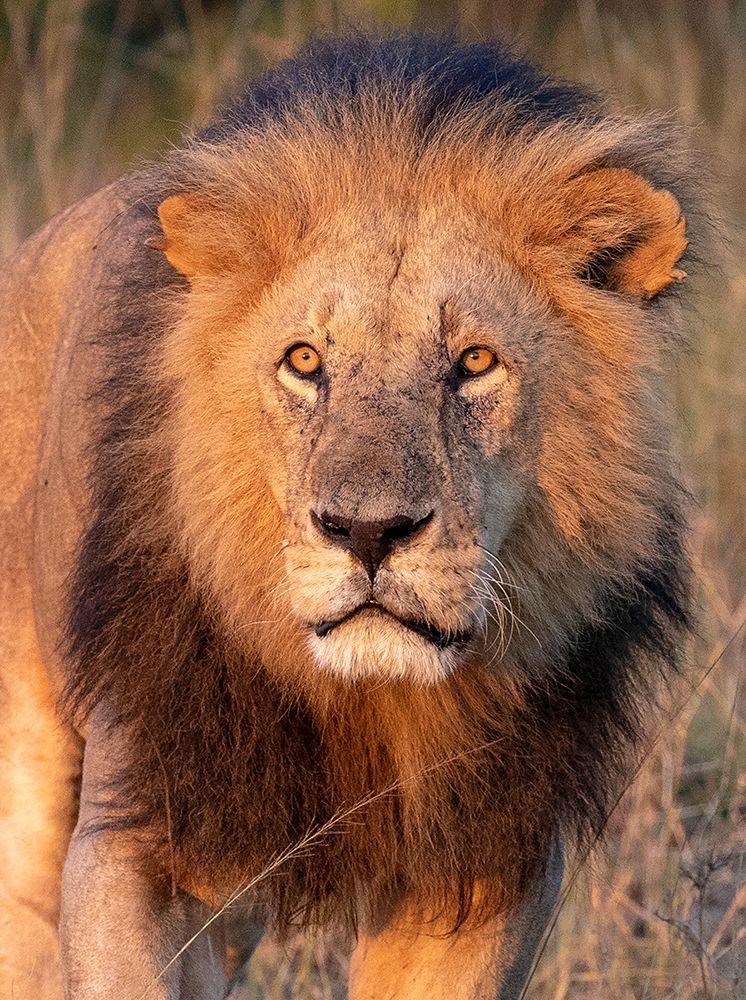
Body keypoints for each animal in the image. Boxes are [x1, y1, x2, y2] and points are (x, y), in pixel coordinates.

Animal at [0, 33, 697, 1000]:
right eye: (304, 362)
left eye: (474, 362)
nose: (369, 534)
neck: (369, 707)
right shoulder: (134, 832)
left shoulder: (491, 867)